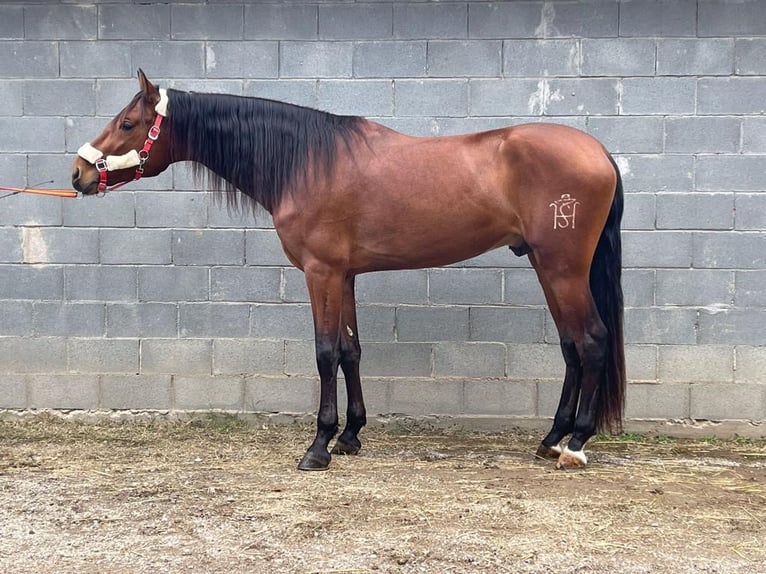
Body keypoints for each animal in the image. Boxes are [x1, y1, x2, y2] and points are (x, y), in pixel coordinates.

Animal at [70, 71, 624, 472]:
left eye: (127, 123)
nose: (78, 174)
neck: (308, 162)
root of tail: (598, 150)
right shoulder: (347, 275)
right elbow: (351, 351)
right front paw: (352, 435)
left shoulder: (321, 273)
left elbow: (325, 353)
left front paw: (319, 445)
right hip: (546, 266)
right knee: (571, 346)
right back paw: (551, 439)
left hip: (563, 268)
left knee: (593, 340)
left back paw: (576, 444)